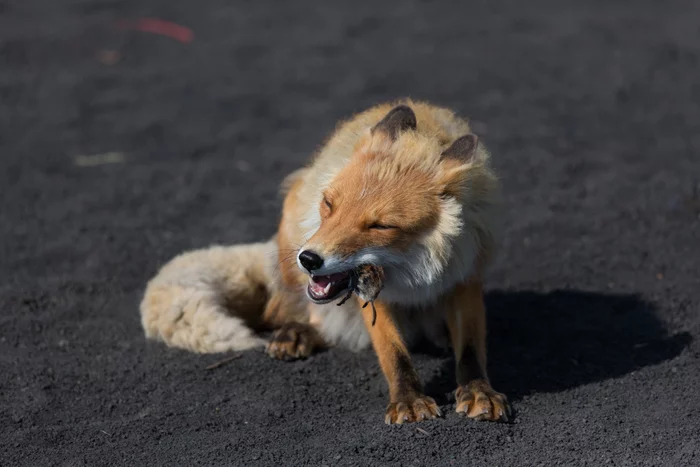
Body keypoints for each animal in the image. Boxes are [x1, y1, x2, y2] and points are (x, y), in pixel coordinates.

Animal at [141, 100, 508, 426]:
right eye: (330, 204)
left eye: (380, 226)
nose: (309, 259)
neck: (415, 269)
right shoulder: (373, 292)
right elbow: (393, 352)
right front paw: (408, 399)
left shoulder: (464, 271)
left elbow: (471, 348)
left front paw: (478, 391)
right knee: (295, 316)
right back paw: (296, 333)